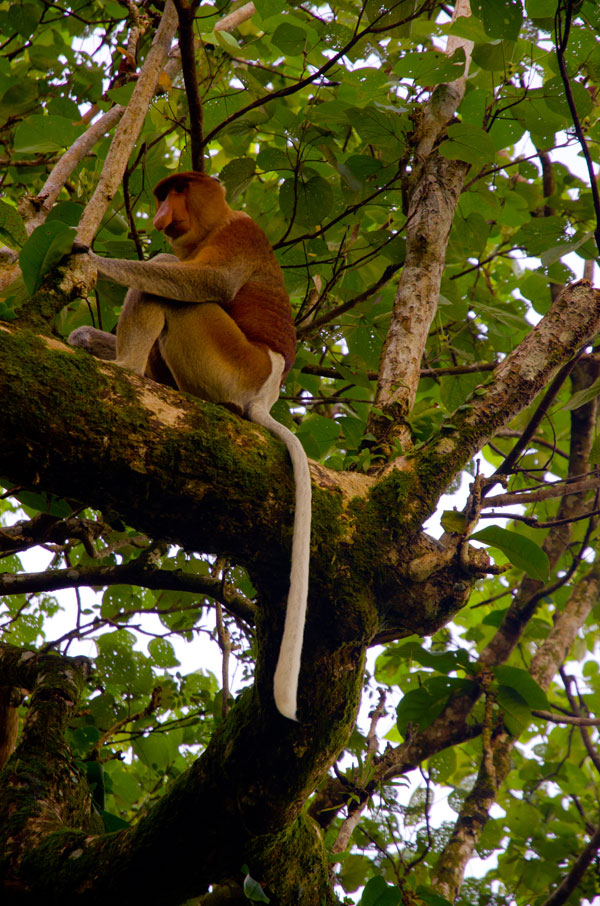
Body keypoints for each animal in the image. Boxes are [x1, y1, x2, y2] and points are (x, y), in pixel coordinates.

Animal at [70, 171, 312, 720]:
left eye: (176, 191)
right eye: (162, 195)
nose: (161, 213)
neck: (215, 223)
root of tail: (265, 392)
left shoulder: (239, 234)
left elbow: (207, 281)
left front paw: (88, 260)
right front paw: (83, 334)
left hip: (226, 363)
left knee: (172, 285)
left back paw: (125, 370)